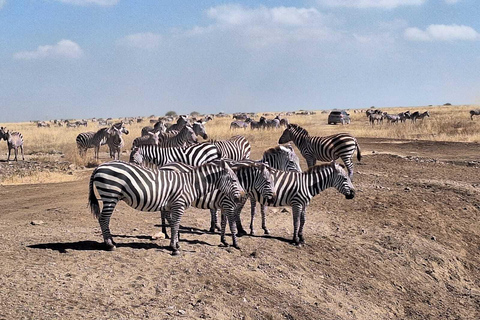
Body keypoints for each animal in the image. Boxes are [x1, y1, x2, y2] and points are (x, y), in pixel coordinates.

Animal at [88, 160, 244, 255]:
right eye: (234, 180)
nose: (242, 197)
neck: (190, 184)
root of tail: (99, 166)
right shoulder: (179, 204)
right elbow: (175, 225)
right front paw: (174, 248)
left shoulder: (171, 206)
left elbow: (174, 224)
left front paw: (175, 243)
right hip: (110, 195)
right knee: (103, 219)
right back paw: (109, 245)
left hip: (109, 196)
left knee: (103, 219)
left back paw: (112, 242)